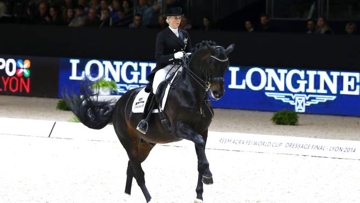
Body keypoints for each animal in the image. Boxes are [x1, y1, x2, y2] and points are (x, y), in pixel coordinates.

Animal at [63, 40, 235, 202]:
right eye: (212, 65)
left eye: (226, 66)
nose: (218, 93)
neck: (192, 94)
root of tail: (118, 105)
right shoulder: (179, 128)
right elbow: (198, 144)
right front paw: (208, 176)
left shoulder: (203, 131)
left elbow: (200, 158)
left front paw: (200, 193)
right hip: (129, 142)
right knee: (138, 172)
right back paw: (150, 199)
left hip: (146, 144)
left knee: (132, 167)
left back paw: (127, 196)